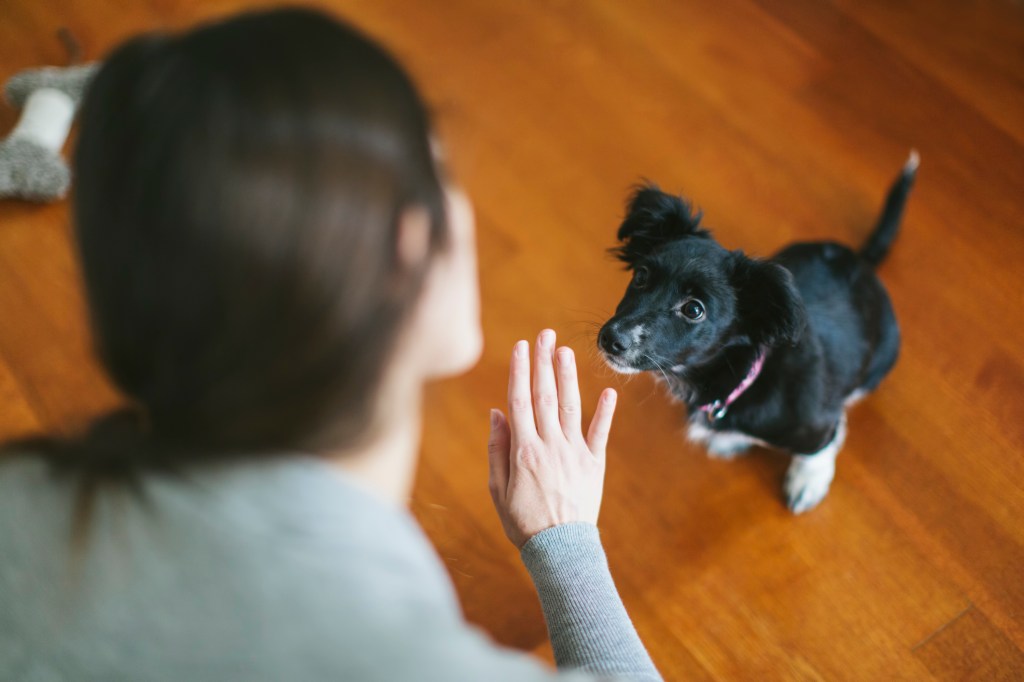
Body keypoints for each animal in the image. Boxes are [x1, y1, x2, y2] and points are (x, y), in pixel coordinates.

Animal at [598, 152, 917, 509]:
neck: (739, 378)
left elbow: (818, 447)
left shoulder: (816, 422)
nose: (611, 339)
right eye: (640, 276)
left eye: (694, 309)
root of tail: (862, 262)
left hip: (882, 358)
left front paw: (808, 480)